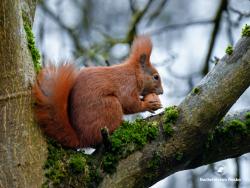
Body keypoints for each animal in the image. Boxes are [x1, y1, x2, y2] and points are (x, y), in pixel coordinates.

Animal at [33, 36, 163, 148]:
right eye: (156, 77)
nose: (162, 92)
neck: (134, 73)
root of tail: (82, 138)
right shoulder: (127, 84)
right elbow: (129, 103)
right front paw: (148, 104)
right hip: (110, 105)